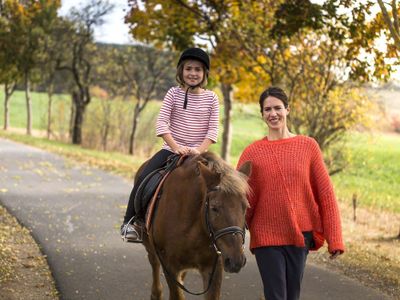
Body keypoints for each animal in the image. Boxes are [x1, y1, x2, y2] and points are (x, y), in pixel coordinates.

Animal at [138, 152, 250, 300]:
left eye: (245, 207)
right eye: (214, 208)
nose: (236, 261)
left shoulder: (214, 268)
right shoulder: (169, 266)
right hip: (151, 247)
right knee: (154, 264)